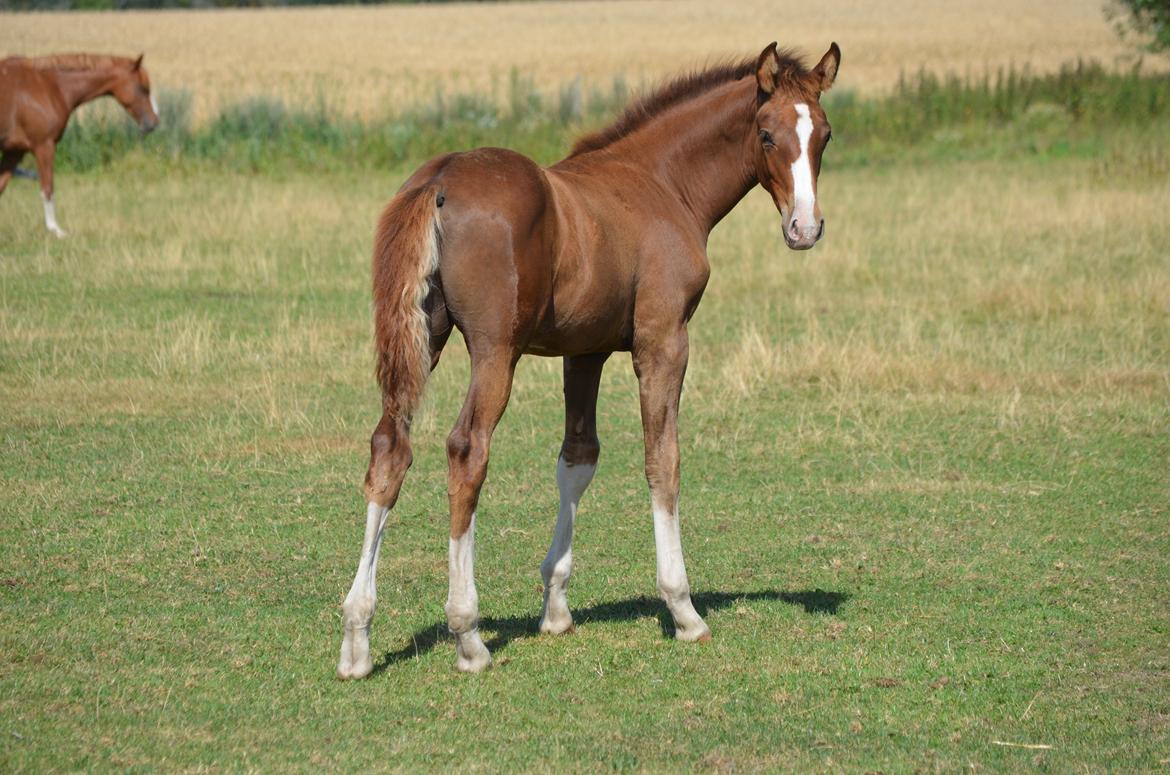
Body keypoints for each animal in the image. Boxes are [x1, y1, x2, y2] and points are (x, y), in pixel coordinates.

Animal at [0, 54, 160, 236]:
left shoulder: (14, 151)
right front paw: (56, 231)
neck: (50, 86)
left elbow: (1, 186)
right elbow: (48, 187)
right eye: (143, 88)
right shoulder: (44, 146)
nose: (153, 122)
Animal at [339, 42, 842, 679]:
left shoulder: (585, 351)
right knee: (467, 450)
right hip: (495, 350)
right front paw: (683, 609)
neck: (661, 183)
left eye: (824, 134)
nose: (805, 228)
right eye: (768, 134)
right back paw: (468, 634)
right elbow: (663, 460)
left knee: (389, 447)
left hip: (422, 336)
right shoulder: (663, 341)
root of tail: (439, 179)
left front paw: (555, 607)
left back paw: (357, 637)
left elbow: (578, 458)